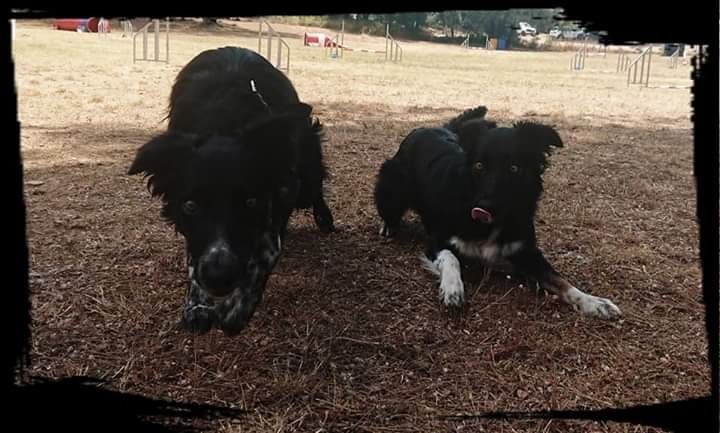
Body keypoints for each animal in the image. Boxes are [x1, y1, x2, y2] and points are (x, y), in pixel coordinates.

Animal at [129, 48, 334, 338]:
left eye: (250, 202)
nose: (219, 277)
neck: (223, 123)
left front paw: (235, 309)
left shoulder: (278, 197)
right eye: (190, 205)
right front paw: (197, 306)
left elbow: (264, 257)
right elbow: (193, 257)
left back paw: (324, 217)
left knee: (315, 187)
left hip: (305, 169)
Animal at [372, 106, 620, 318]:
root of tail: (430, 128)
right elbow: (451, 258)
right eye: (479, 166)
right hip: (390, 187)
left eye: (514, 168)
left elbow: (560, 280)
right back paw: (388, 225)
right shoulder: (437, 241)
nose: (484, 207)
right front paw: (452, 288)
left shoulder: (527, 251)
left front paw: (594, 302)